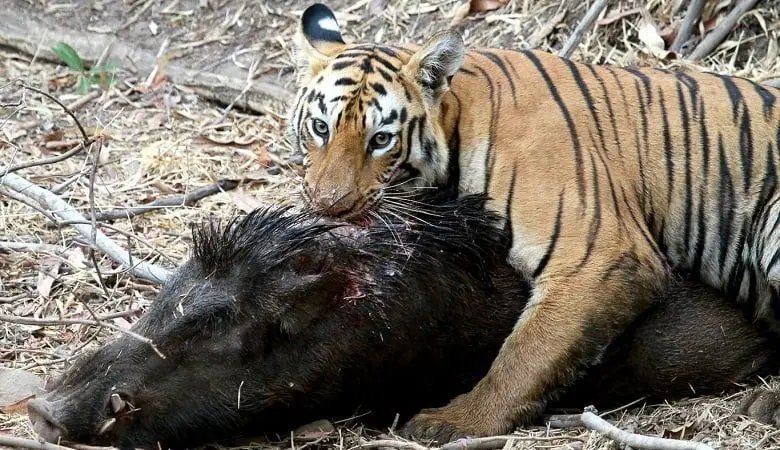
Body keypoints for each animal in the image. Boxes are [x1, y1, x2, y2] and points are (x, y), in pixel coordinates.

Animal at [284, 0, 780, 442]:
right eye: (321, 128)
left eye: (381, 140)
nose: (330, 206)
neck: (457, 120)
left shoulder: (599, 256)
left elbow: (526, 354)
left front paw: (457, 421)